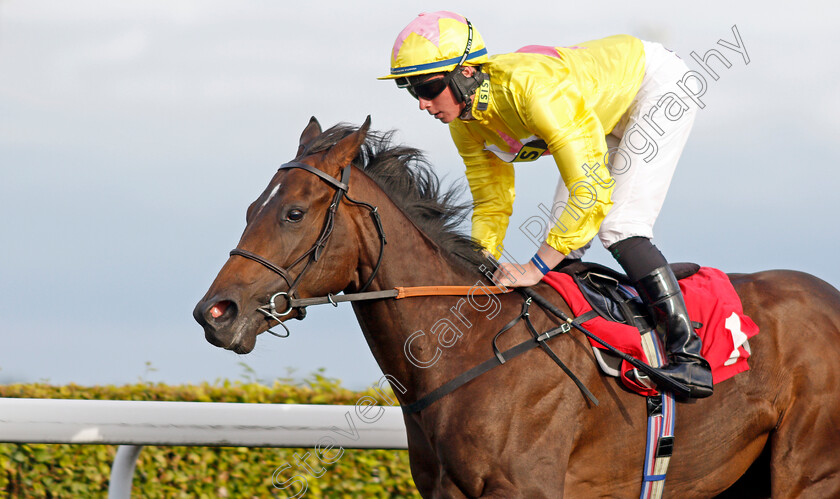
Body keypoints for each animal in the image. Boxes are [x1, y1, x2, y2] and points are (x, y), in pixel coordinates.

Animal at [194, 118, 840, 499]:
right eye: (251, 208)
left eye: (293, 213)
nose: (215, 312)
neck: (468, 350)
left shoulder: (525, 490)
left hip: (806, 472)